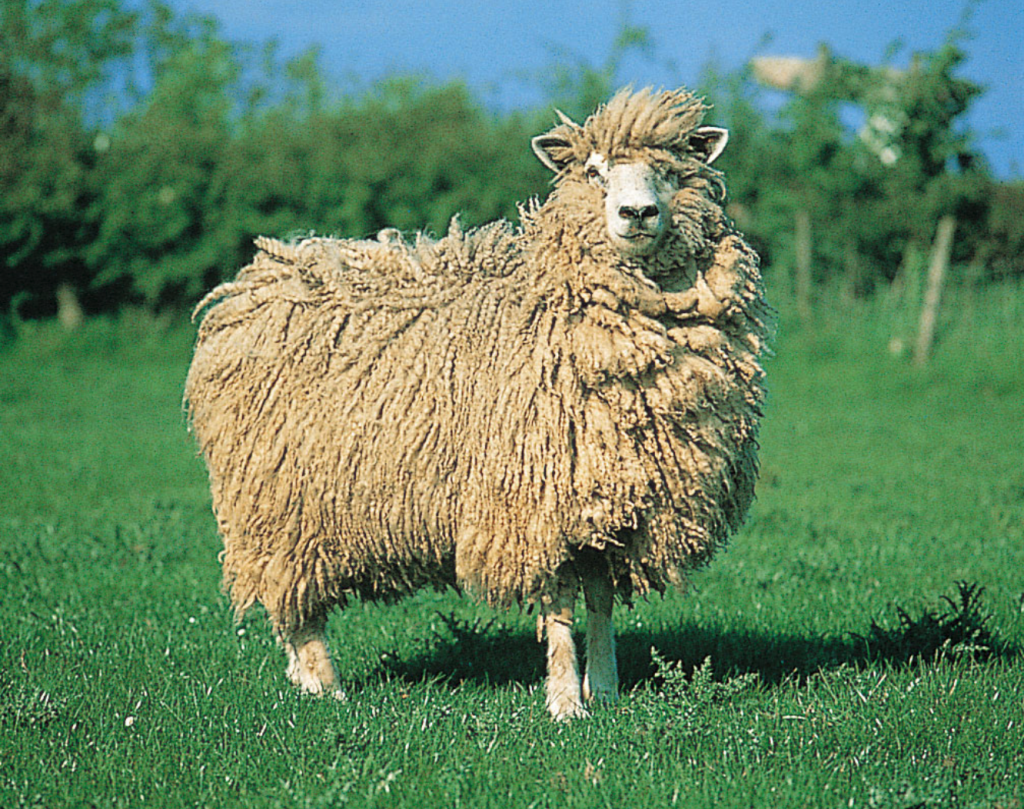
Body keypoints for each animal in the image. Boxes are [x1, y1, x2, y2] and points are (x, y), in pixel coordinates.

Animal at [185, 87, 771, 720]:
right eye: (593, 172)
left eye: (670, 171)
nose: (636, 214)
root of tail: (258, 277)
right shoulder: (534, 500)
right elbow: (560, 607)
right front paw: (566, 703)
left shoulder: (608, 504)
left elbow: (600, 601)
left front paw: (608, 691)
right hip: (279, 501)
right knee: (294, 598)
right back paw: (324, 684)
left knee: (283, 599)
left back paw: (301, 680)